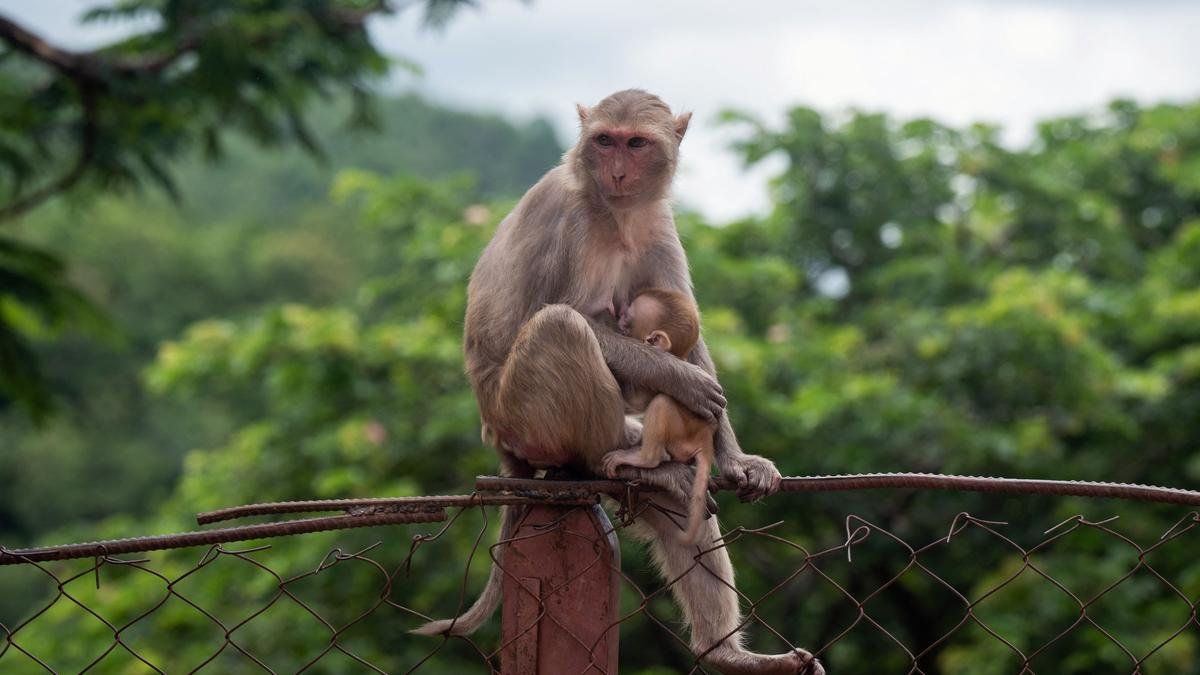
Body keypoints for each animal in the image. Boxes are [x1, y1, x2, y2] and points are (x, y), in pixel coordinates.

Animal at [600, 285, 710, 542]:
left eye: (628, 318)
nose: (620, 316)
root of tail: (704, 441)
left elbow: (638, 399)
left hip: (681, 437)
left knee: (661, 403)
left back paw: (643, 458)